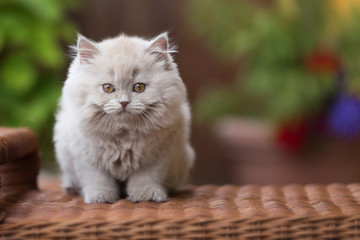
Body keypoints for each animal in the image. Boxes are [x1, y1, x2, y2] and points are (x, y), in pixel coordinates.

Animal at [53, 32, 194, 203]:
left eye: (139, 87)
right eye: (108, 88)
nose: (124, 102)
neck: (123, 135)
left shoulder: (156, 157)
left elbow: (146, 177)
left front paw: (146, 195)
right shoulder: (86, 157)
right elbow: (97, 179)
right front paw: (101, 196)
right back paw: (70, 188)